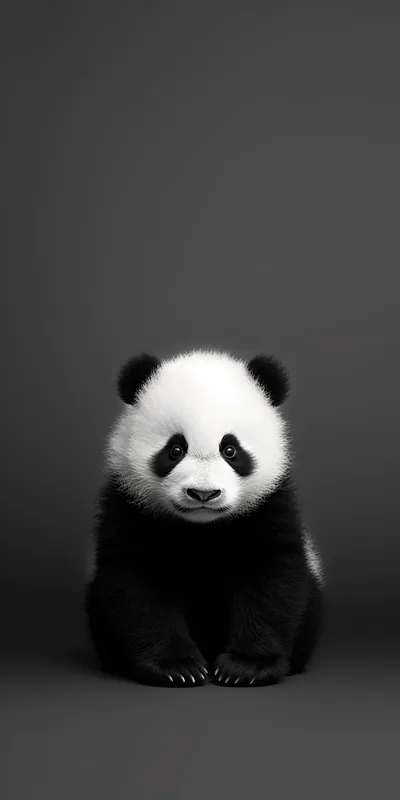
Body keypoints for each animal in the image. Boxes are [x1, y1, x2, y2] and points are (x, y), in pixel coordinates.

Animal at [85, 349, 324, 687]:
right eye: (175, 449)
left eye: (230, 450)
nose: (203, 494)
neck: (202, 529)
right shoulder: (128, 505)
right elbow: (135, 585)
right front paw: (177, 668)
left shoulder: (270, 505)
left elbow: (274, 577)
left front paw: (245, 667)